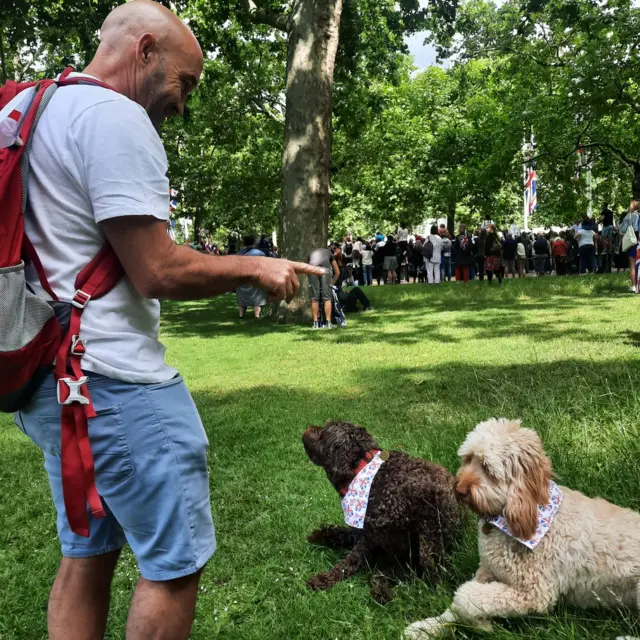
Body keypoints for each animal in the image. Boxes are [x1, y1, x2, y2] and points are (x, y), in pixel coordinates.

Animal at [404, 418, 640, 636]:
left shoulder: (533, 593)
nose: (459, 489)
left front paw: (481, 624)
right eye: (468, 458)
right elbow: (453, 607)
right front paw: (426, 627)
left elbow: (464, 596)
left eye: (488, 468)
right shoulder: (488, 570)